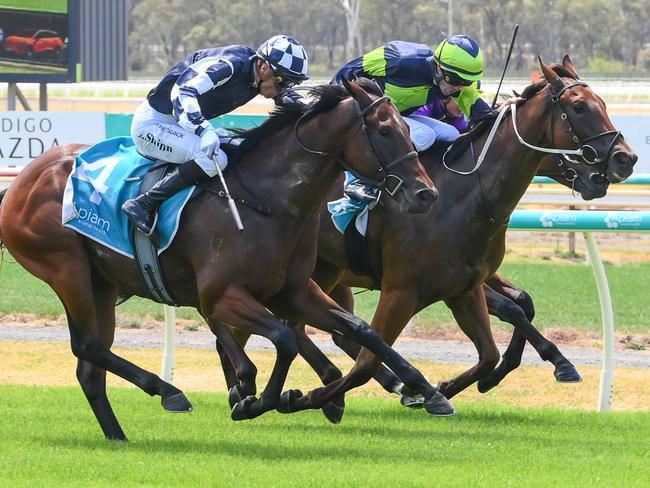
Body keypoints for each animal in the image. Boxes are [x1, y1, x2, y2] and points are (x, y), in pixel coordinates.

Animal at [0, 79, 450, 438]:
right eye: (386, 130)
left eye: (409, 128)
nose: (426, 194)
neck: (269, 199)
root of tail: (22, 181)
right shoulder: (221, 295)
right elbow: (284, 339)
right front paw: (260, 400)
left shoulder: (293, 292)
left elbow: (363, 330)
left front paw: (425, 389)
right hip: (66, 269)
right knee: (87, 345)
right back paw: (169, 391)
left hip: (102, 283)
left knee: (89, 367)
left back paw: (119, 435)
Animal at [215, 55, 636, 418]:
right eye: (579, 108)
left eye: (602, 102)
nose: (625, 159)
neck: (466, 196)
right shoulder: (401, 291)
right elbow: (368, 359)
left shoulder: (464, 287)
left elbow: (501, 335)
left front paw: (449, 386)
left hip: (320, 273)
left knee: (289, 328)